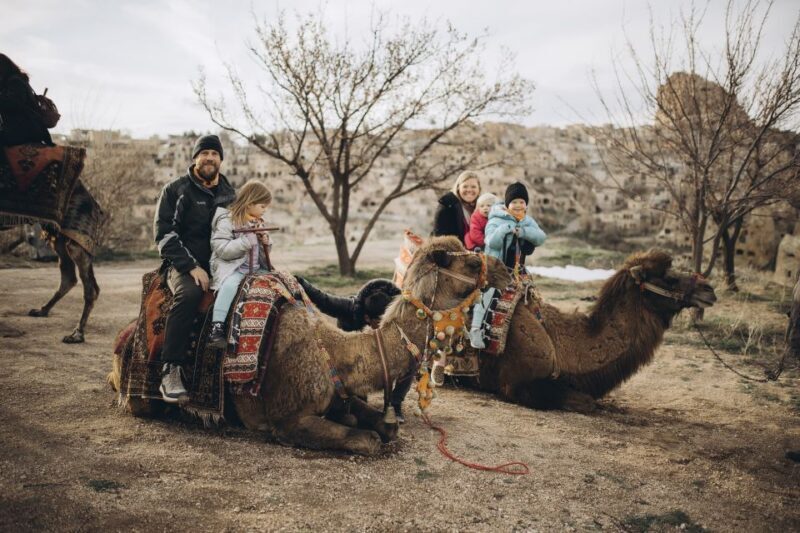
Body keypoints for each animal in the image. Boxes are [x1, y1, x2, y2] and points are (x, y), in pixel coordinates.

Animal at [109, 241, 489, 455]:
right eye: (470, 262)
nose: (489, 266)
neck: (331, 351)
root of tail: (124, 338)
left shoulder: (340, 392)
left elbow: (385, 425)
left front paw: (361, 417)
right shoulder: (288, 420)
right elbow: (366, 440)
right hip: (141, 397)